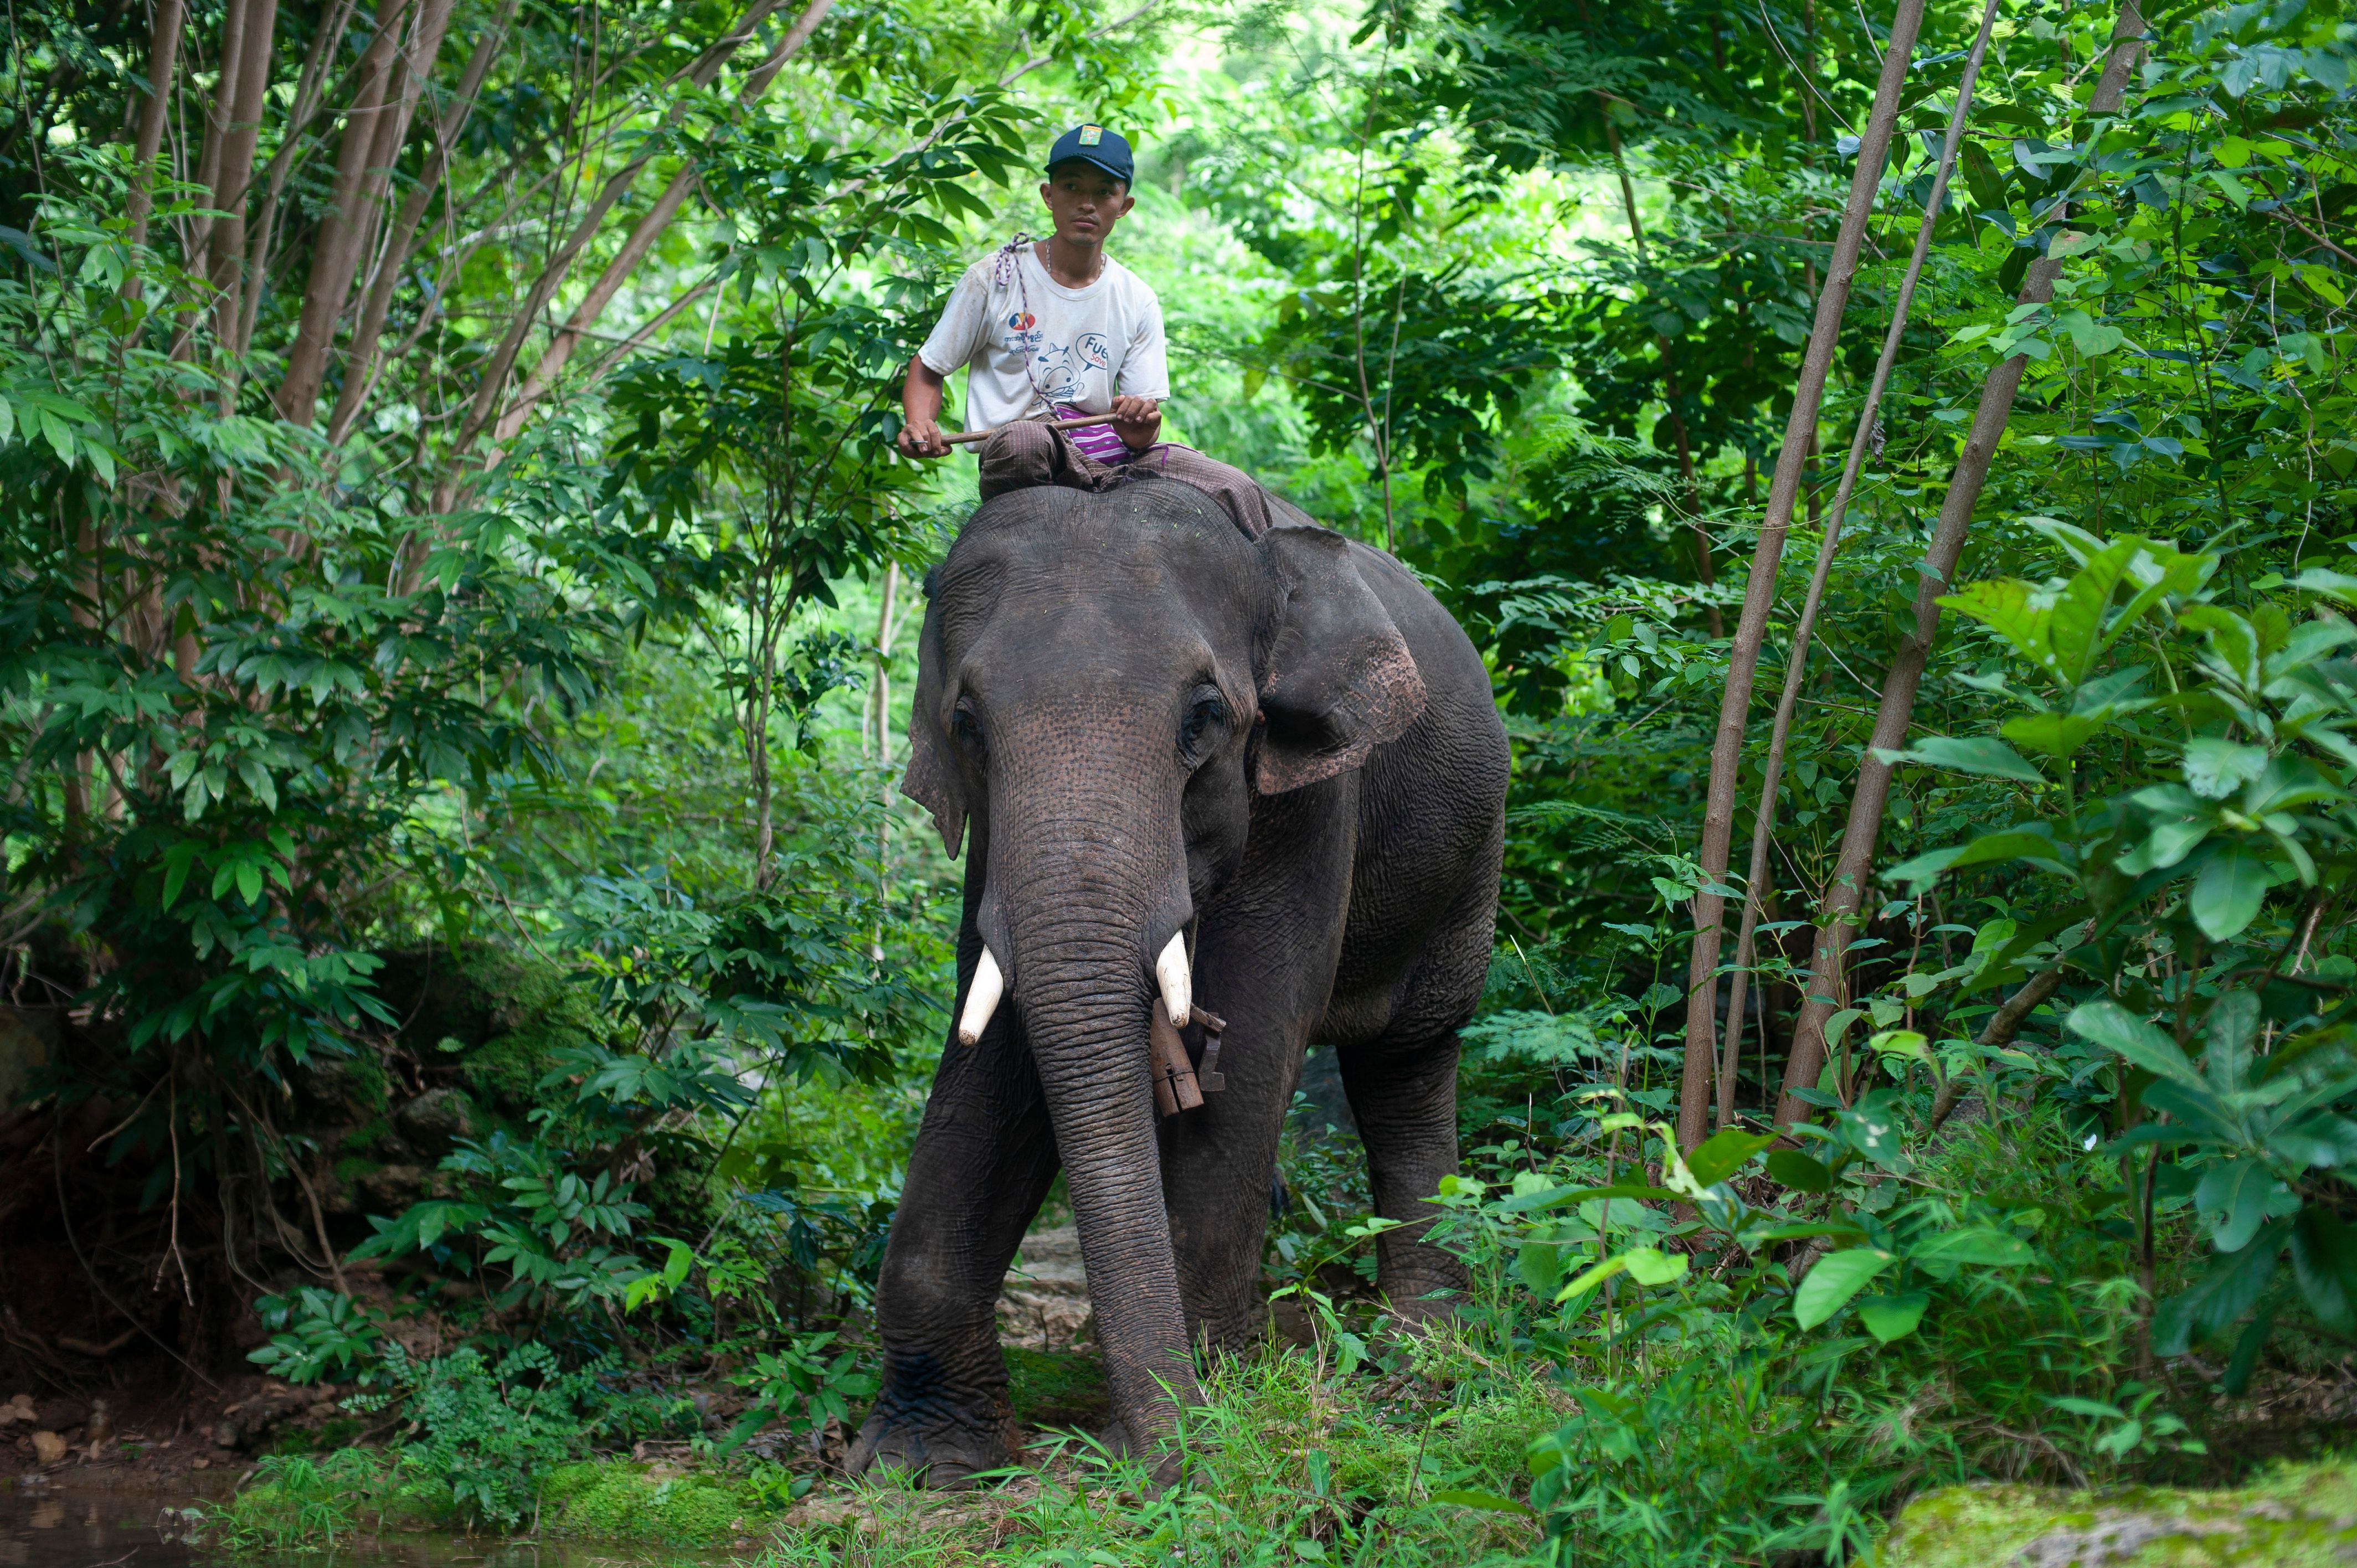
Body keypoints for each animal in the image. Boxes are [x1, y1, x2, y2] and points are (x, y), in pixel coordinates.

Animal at [848, 475, 1509, 1487]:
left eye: (1204, 717)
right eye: (964, 724)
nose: (1159, 1461)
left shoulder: (1312, 797)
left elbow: (1258, 1025)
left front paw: (1213, 1424)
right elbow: (1005, 1051)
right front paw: (921, 1462)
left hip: (1470, 865)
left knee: (1408, 1066)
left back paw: (1425, 1353)